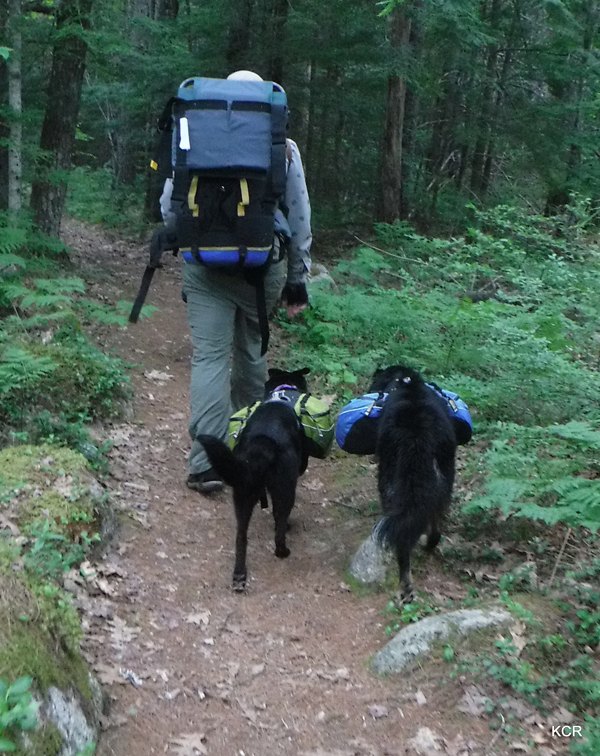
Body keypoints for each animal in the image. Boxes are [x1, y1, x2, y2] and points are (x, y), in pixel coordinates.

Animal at [198, 366, 310, 592]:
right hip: (284, 488)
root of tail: (263, 444)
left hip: (242, 492)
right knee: (279, 525)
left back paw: (239, 576)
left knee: (241, 537)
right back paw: (282, 551)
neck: (281, 395)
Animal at [368, 364, 458, 604]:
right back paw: (429, 543)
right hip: (443, 477)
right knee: (433, 520)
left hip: (390, 480)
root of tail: (416, 435)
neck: (405, 383)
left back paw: (405, 586)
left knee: (402, 537)